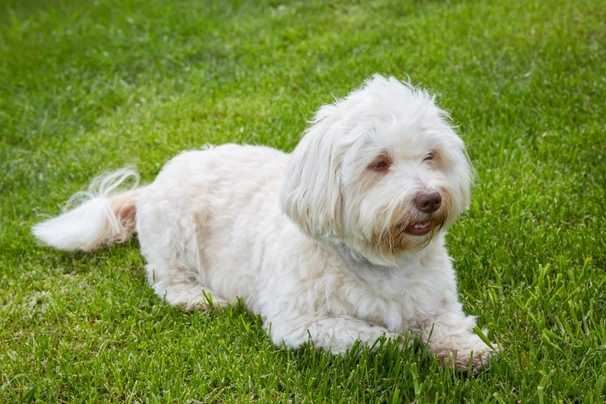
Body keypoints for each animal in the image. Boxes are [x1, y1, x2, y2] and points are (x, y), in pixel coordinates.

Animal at [32, 75, 498, 370]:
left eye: (431, 156)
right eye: (379, 163)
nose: (430, 198)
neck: (381, 261)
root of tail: (153, 183)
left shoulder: (440, 301)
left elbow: (449, 323)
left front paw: (467, 351)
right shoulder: (302, 325)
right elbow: (374, 336)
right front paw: (406, 343)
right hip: (174, 235)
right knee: (166, 281)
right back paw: (200, 299)